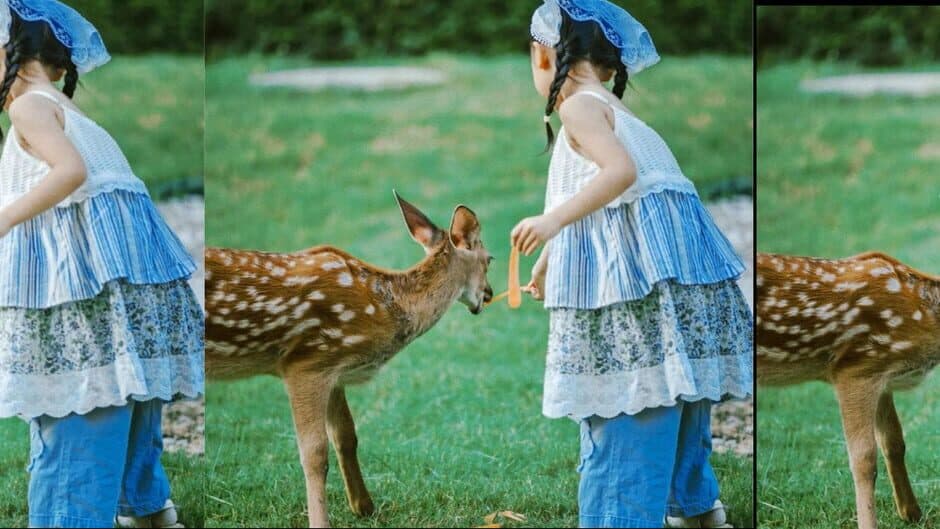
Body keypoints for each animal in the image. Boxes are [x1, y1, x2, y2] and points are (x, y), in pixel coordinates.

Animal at [204, 192, 494, 528]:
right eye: (490, 259)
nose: (489, 294)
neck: (384, 307)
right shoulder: (306, 362)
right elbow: (314, 452)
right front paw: (321, 521)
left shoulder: (333, 369)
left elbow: (346, 436)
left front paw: (364, 506)